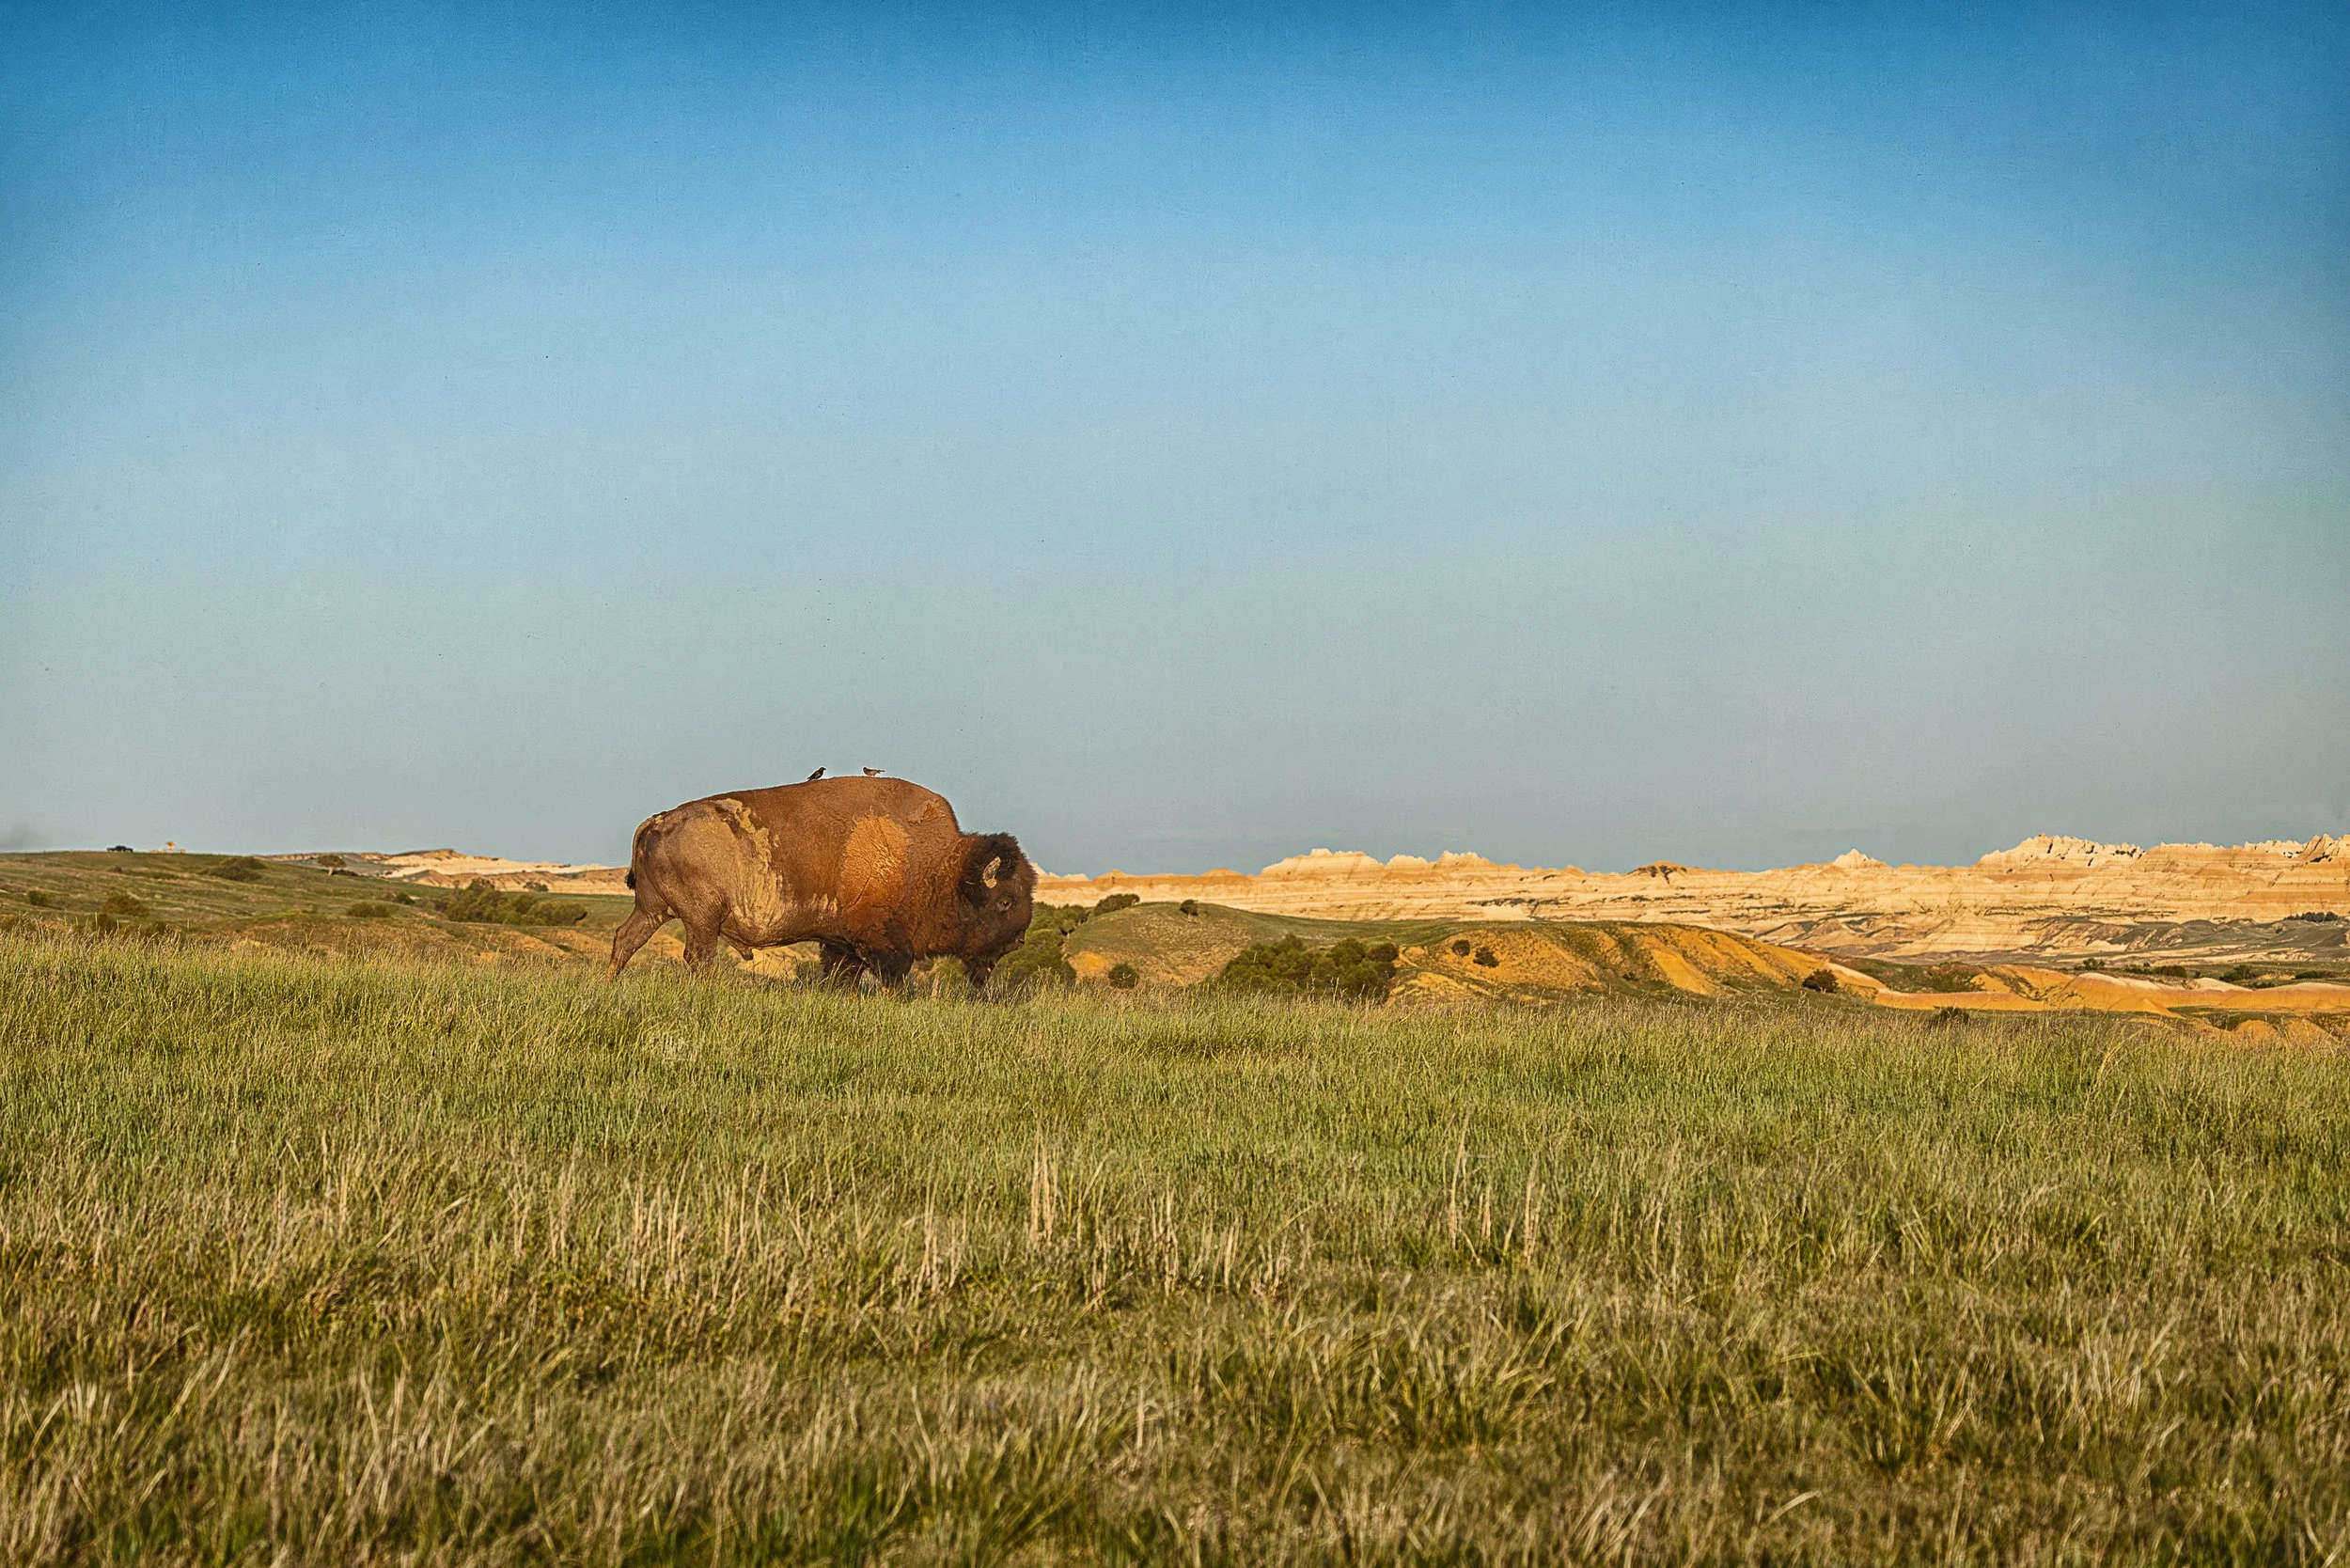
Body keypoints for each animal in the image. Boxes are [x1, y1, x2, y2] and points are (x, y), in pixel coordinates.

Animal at [610, 776, 1036, 990]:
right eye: (1005, 901)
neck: (932, 861)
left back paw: (611, 984)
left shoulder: (842, 943)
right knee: (698, 956)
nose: (1019, 940)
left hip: (653, 909)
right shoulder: (879, 939)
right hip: (701, 918)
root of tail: (659, 820)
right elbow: (893, 974)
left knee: (626, 939)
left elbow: (842, 975)